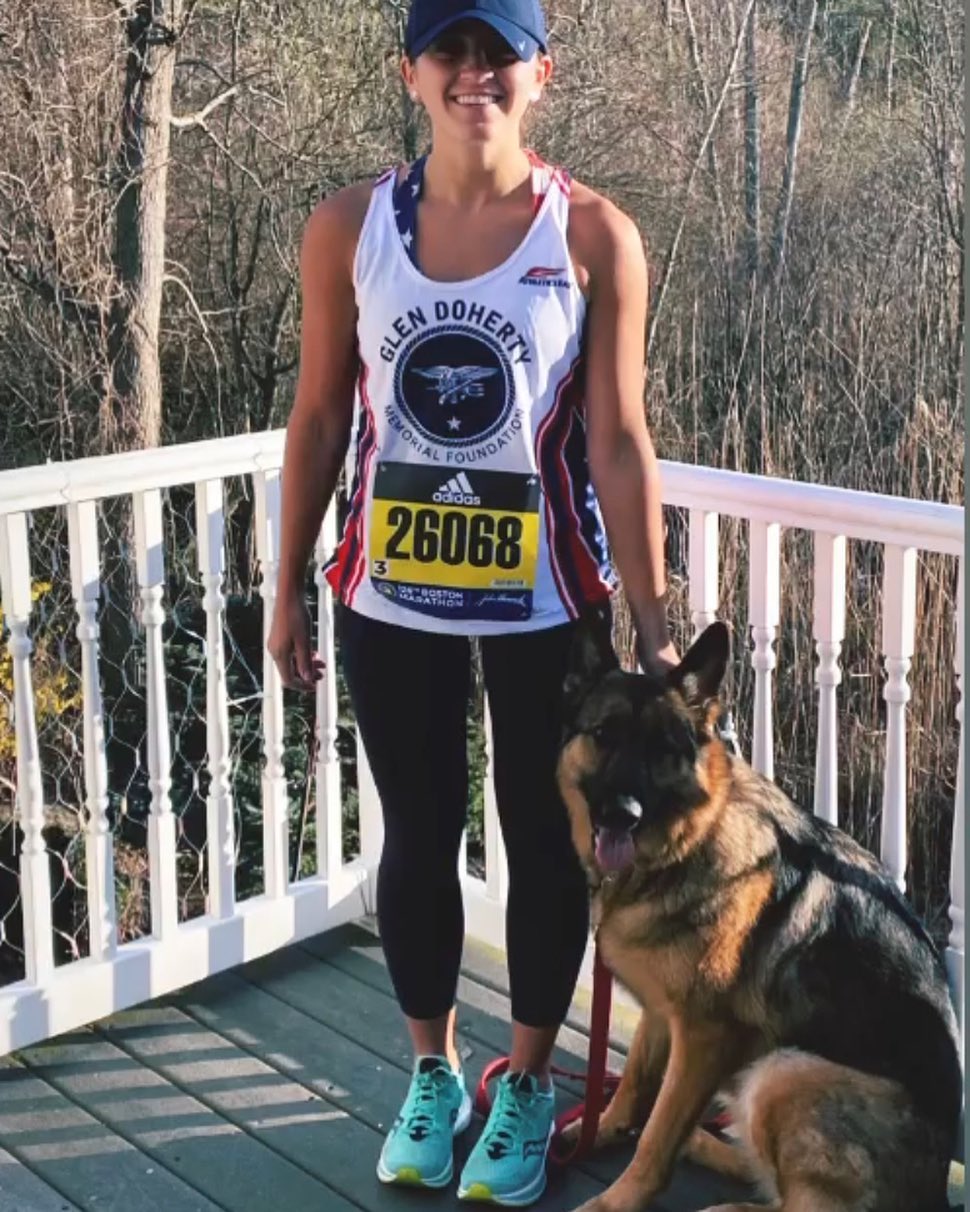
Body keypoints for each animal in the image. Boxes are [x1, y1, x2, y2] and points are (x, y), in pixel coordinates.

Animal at [556, 620, 961, 1212]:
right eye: (603, 733)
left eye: (661, 749)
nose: (622, 815)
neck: (686, 844)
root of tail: (933, 1196)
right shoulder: (659, 1015)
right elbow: (633, 1088)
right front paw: (602, 1127)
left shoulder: (702, 1039)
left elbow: (656, 1135)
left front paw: (617, 1200)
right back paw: (706, 1145)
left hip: (782, 1072)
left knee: (796, 1203)